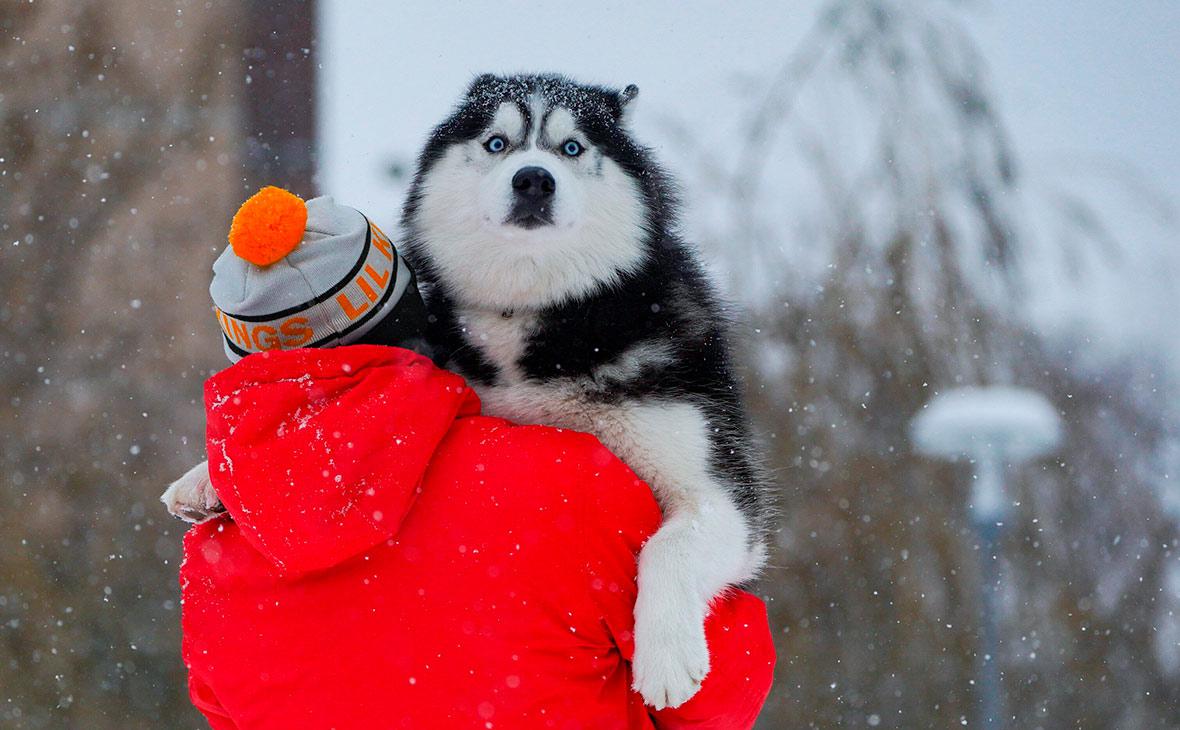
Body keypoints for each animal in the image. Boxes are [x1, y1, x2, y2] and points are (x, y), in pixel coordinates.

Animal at [166, 74, 774, 707]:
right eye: (497, 143)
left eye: (572, 147)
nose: (533, 179)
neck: (534, 313)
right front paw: (205, 476)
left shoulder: (718, 488)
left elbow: (671, 546)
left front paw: (668, 657)